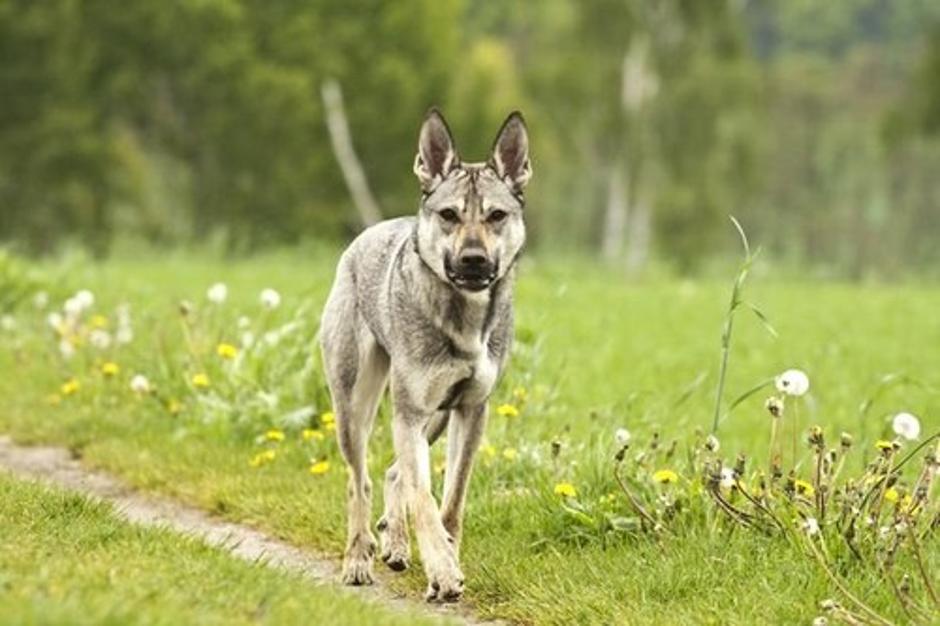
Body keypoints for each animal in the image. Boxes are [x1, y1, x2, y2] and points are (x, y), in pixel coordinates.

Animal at [322, 108, 528, 600]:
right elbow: (425, 498)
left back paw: (395, 544)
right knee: (359, 480)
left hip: (435, 417)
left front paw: (445, 556)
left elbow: (452, 499)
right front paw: (442, 570)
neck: (464, 316)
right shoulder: (410, 412)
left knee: (394, 472)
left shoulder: (471, 411)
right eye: (449, 215)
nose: (473, 260)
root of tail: (366, 234)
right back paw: (358, 559)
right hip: (356, 407)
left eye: (496, 215)